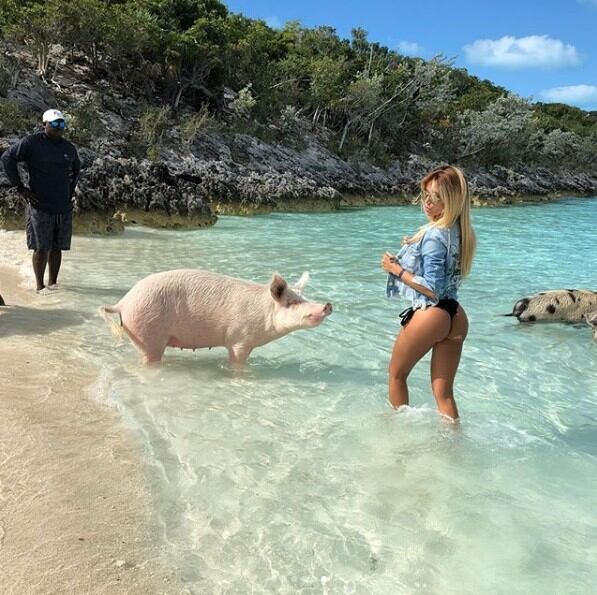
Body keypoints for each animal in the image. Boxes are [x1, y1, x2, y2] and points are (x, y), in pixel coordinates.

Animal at [98, 268, 330, 364]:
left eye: (303, 297)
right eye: (292, 303)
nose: (328, 304)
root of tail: (123, 302)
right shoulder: (239, 340)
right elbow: (237, 361)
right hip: (147, 331)